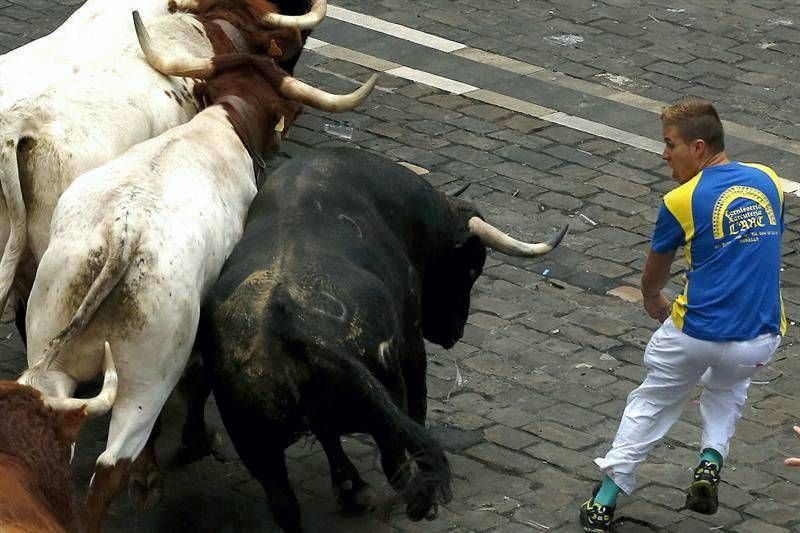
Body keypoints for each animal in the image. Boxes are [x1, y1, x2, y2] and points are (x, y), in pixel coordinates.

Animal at [190, 147, 568, 532]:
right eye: (473, 267)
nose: (455, 332)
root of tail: (285, 320)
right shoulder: (411, 338)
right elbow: (418, 404)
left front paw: (350, 488)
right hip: (384, 398)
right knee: (394, 460)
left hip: (255, 444)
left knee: (285, 502)